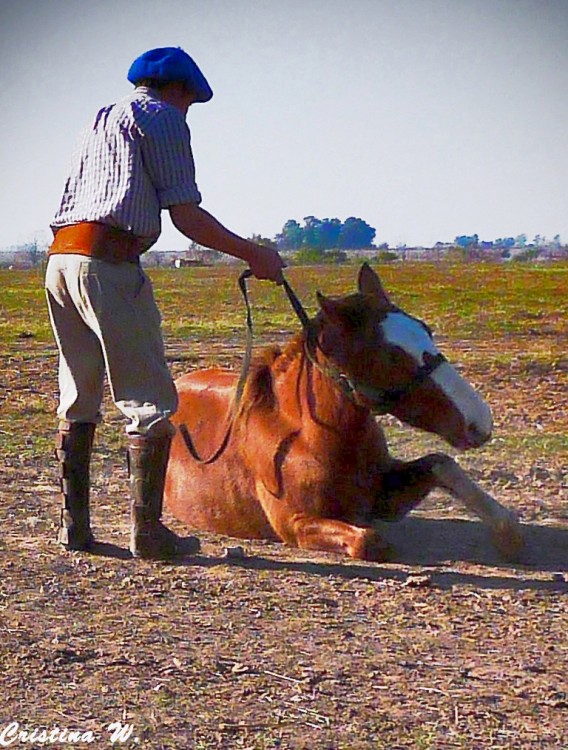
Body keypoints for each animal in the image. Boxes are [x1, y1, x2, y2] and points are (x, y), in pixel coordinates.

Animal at [162, 268, 520, 560]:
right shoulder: (295, 524)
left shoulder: (383, 496)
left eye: (426, 329)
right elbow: (369, 540)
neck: (305, 439)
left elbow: (441, 463)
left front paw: (509, 535)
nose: (480, 421)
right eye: (391, 355)